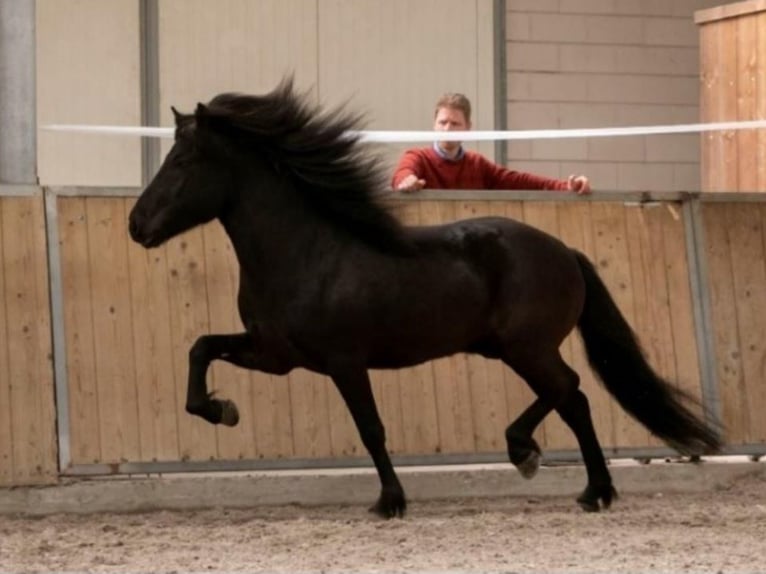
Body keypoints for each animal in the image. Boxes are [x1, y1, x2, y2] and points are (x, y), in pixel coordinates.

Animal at [129, 79, 724, 520]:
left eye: (182, 163)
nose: (137, 225)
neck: (306, 253)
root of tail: (564, 250)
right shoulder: (275, 354)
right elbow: (200, 348)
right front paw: (221, 410)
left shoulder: (344, 362)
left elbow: (370, 429)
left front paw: (390, 502)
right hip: (512, 349)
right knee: (570, 396)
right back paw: (569, 478)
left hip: (527, 348)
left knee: (570, 392)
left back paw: (562, 473)